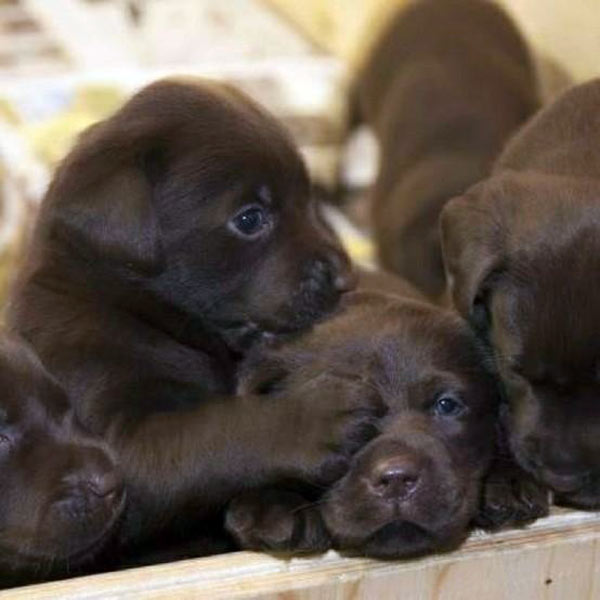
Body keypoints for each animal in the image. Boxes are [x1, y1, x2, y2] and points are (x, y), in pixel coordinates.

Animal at [7, 78, 378, 548]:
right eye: (250, 218)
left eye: (309, 200)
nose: (348, 278)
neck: (127, 311)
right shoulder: (116, 444)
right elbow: (219, 426)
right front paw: (311, 416)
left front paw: (274, 506)